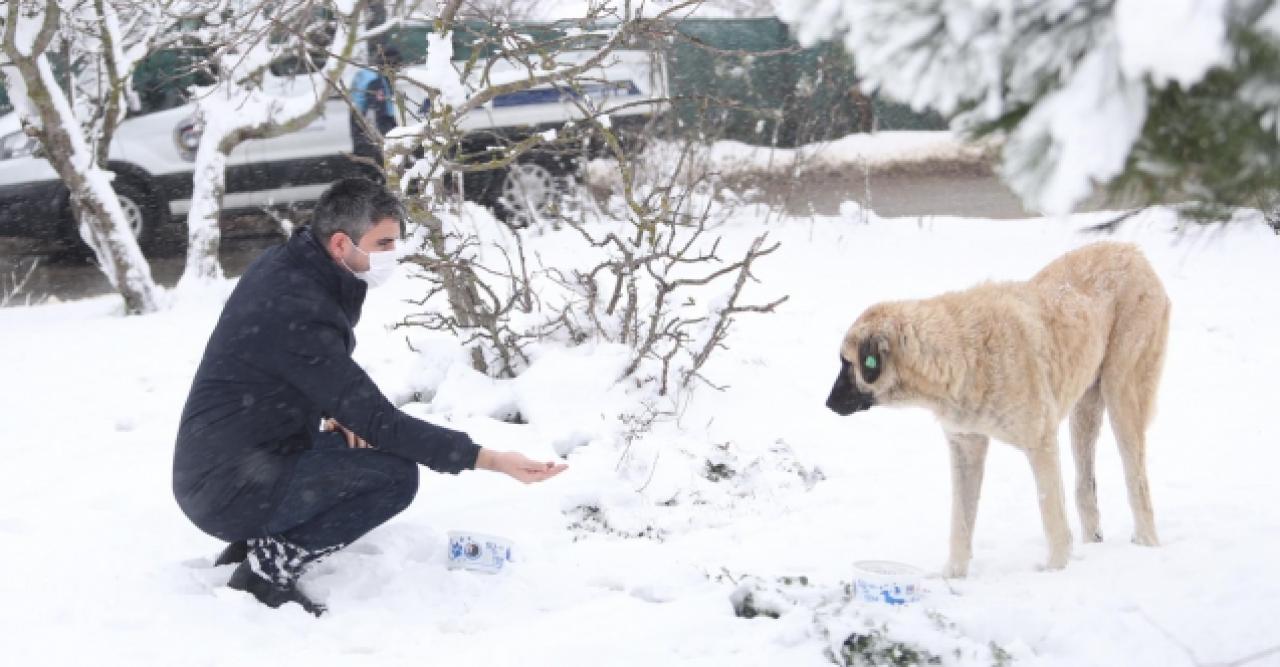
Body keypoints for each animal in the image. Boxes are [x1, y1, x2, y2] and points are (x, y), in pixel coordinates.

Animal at [829, 241, 1172, 573]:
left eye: (847, 364)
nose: (827, 403)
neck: (961, 354)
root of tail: (1132, 250)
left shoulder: (1041, 441)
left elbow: (1051, 512)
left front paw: (1055, 569)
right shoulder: (965, 446)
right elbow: (960, 521)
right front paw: (952, 575)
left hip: (1121, 392)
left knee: (1137, 482)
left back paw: (1146, 544)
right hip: (1084, 411)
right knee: (1085, 486)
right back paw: (1094, 543)